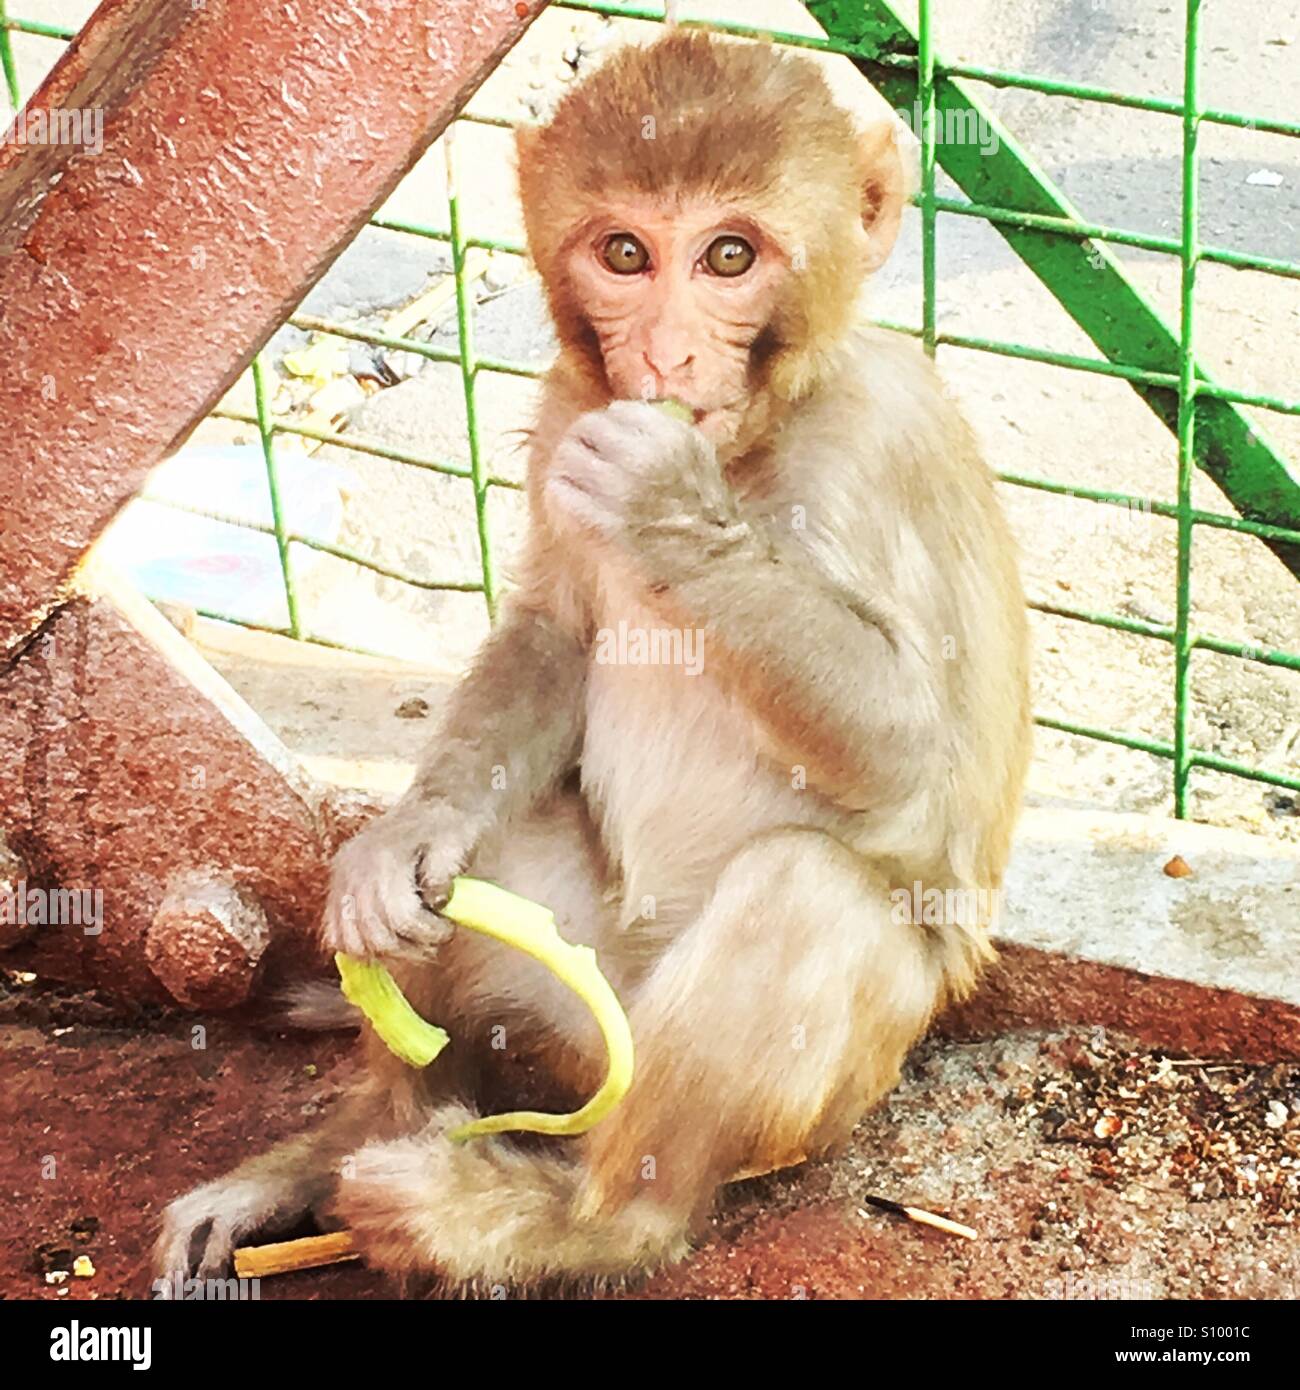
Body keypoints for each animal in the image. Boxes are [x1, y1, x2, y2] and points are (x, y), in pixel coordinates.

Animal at [155, 29, 1028, 1289]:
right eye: (625, 253)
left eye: (728, 256)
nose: (663, 351)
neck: (757, 443)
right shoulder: (570, 405)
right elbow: (553, 636)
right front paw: (404, 839)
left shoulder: (879, 442)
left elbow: (911, 750)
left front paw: (667, 513)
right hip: (568, 1009)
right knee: (475, 883)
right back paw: (338, 1149)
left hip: (806, 1093)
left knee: (803, 891)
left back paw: (572, 1223)